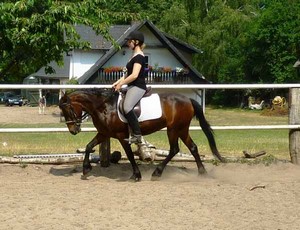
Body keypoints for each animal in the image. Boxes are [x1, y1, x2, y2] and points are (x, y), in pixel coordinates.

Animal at [58, 89, 224, 181]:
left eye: (67, 110)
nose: (73, 130)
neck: (105, 106)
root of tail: (188, 99)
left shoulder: (121, 135)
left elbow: (130, 155)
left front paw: (136, 175)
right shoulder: (104, 133)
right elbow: (88, 146)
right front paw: (86, 169)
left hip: (174, 129)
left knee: (174, 149)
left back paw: (157, 173)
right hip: (181, 129)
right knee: (192, 147)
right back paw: (202, 172)